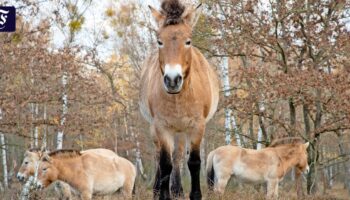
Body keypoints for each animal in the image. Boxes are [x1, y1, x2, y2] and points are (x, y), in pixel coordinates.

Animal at [139, 0, 219, 199]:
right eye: (160, 41)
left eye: (188, 41)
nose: (173, 80)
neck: (179, 97)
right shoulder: (161, 127)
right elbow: (165, 163)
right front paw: (163, 194)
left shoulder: (197, 126)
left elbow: (193, 162)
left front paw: (194, 194)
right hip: (159, 129)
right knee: (161, 157)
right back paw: (158, 189)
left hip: (181, 131)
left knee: (178, 156)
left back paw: (177, 190)